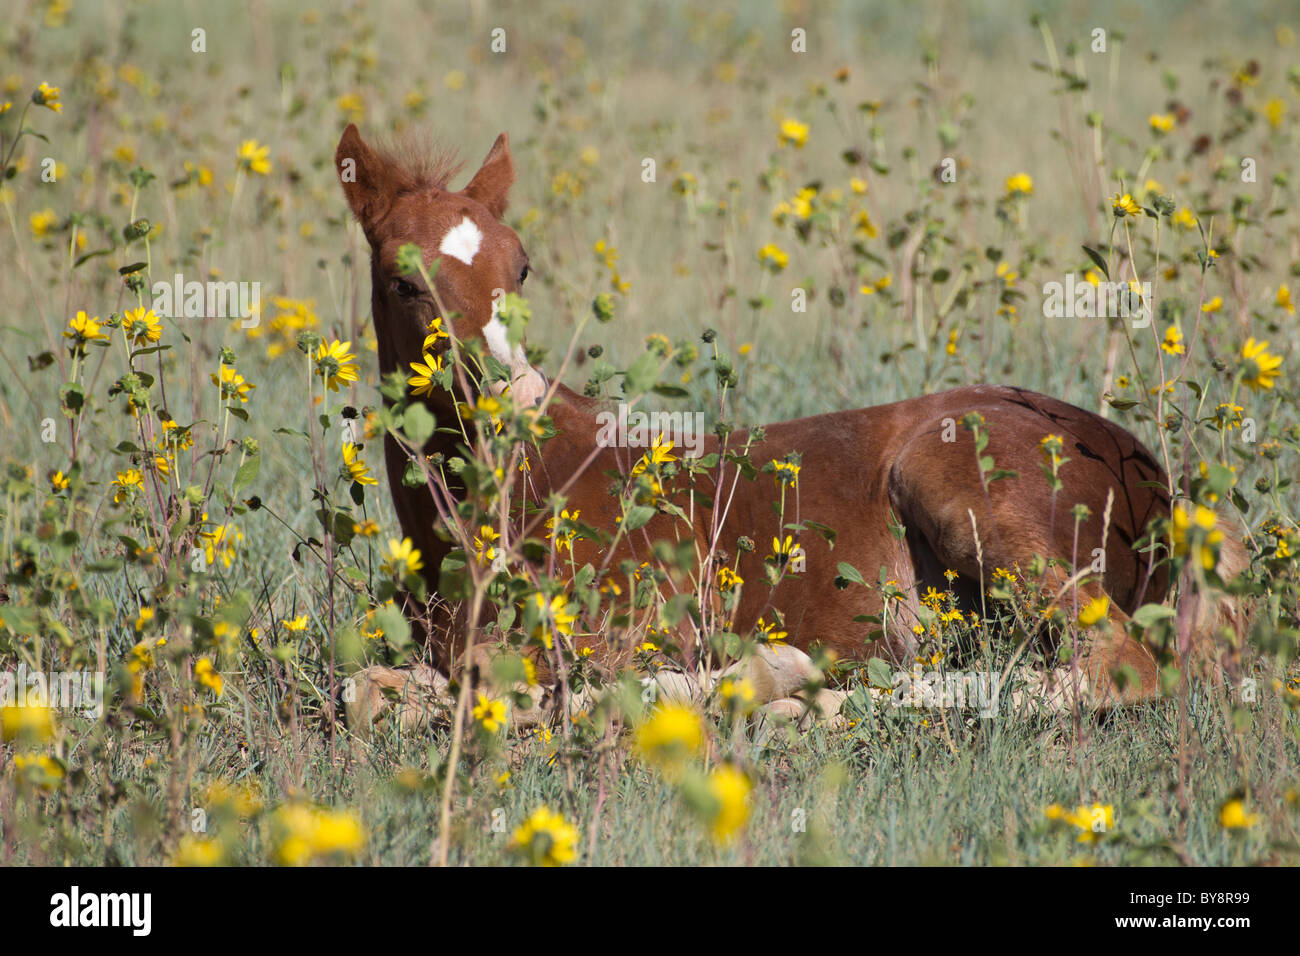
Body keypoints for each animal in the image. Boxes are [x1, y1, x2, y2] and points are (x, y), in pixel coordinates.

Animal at [332, 121, 1237, 733]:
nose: (504, 392)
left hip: (963, 490)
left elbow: (524, 688)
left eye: (520, 268)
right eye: (403, 281)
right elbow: (368, 691)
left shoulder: (625, 628)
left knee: (1116, 665)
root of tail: (1148, 471)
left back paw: (793, 683)